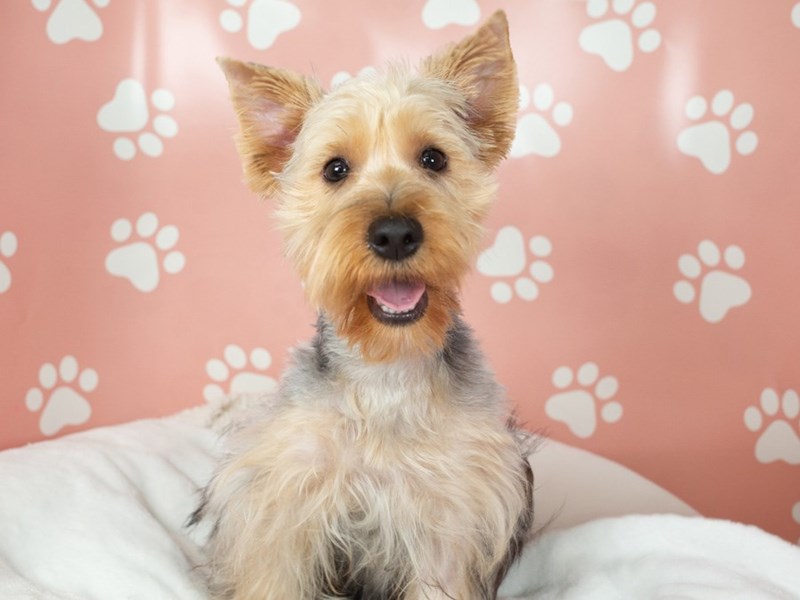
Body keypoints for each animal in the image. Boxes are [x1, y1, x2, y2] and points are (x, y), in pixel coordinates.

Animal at [191, 11, 534, 599]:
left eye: (433, 158)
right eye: (334, 169)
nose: (394, 234)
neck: (385, 372)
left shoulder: (450, 518)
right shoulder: (282, 505)